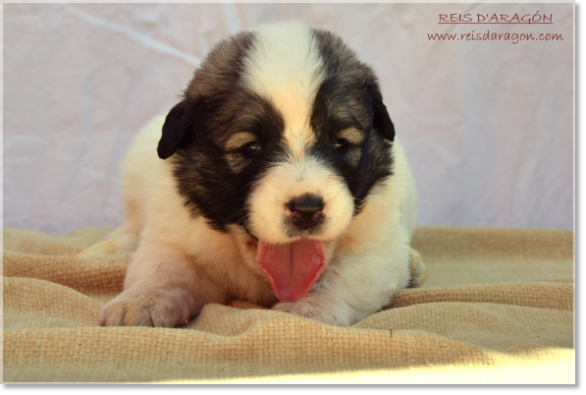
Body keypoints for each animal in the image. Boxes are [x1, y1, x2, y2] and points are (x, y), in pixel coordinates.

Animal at [82, 20, 422, 328]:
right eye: (251, 147)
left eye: (340, 143)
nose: (307, 208)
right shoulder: (175, 237)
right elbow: (164, 269)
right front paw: (139, 301)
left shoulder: (377, 249)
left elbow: (342, 277)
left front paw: (307, 309)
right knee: (132, 224)